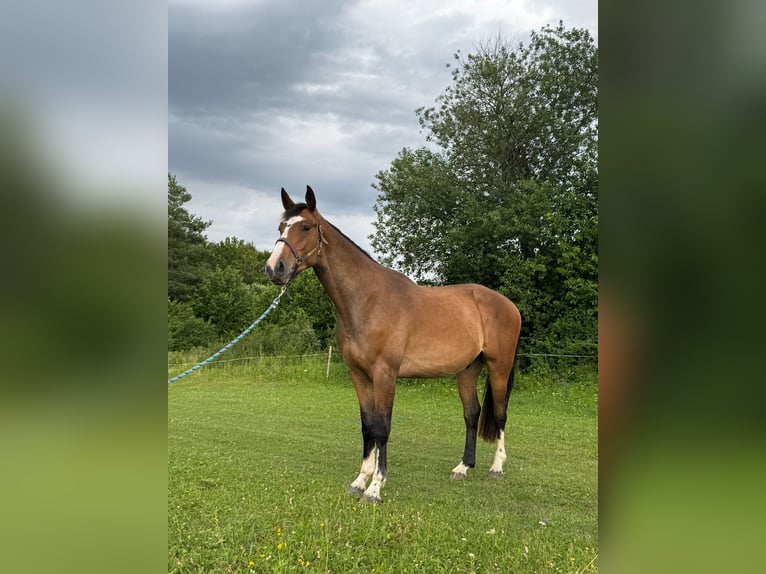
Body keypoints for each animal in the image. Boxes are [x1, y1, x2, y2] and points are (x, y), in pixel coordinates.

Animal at [264, 186, 522, 503]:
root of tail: (509, 305)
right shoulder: (359, 375)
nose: (274, 268)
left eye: (306, 227)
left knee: (499, 413)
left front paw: (376, 487)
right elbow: (367, 427)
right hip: (468, 370)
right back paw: (463, 467)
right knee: (471, 414)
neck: (368, 301)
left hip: (499, 367)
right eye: (280, 228)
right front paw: (359, 481)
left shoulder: (385, 374)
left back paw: (497, 467)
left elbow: (382, 428)